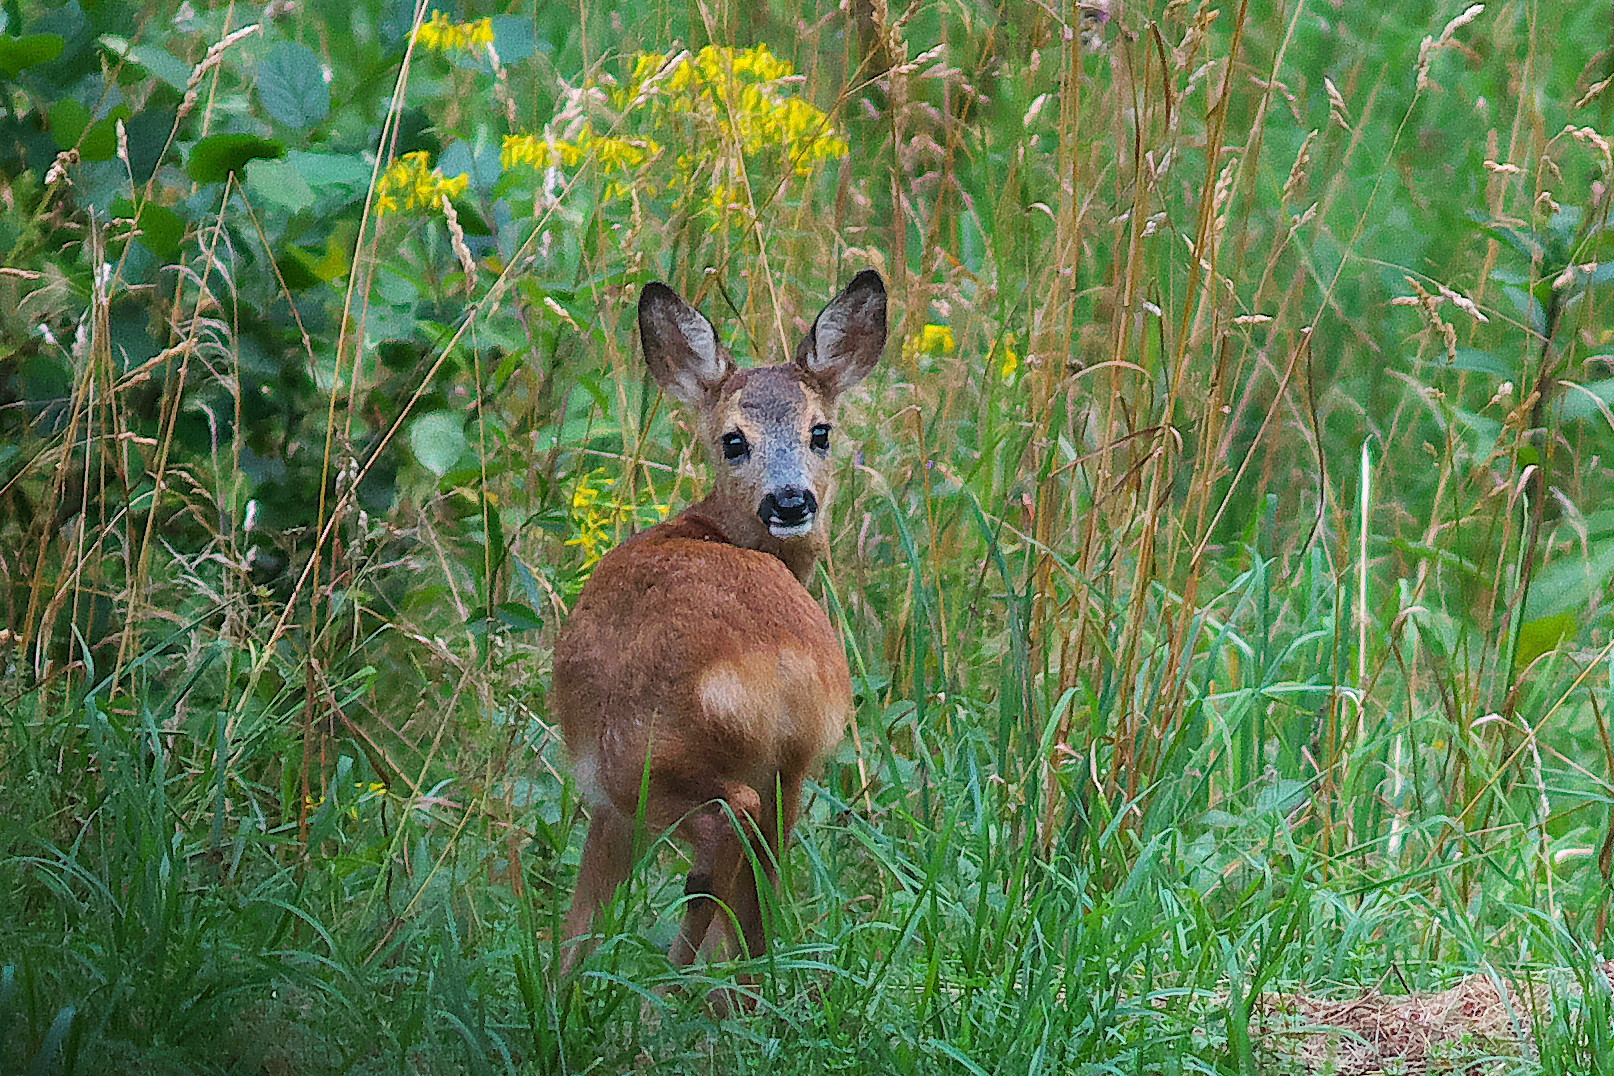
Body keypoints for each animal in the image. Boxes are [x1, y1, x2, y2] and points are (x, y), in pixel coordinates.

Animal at [551, 271, 884, 987]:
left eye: (820, 431)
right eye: (734, 440)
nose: (790, 500)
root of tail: (779, 663)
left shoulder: (608, 800)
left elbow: (580, 923)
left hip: (646, 760)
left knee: (724, 831)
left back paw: (669, 985)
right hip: (792, 766)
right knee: (759, 874)